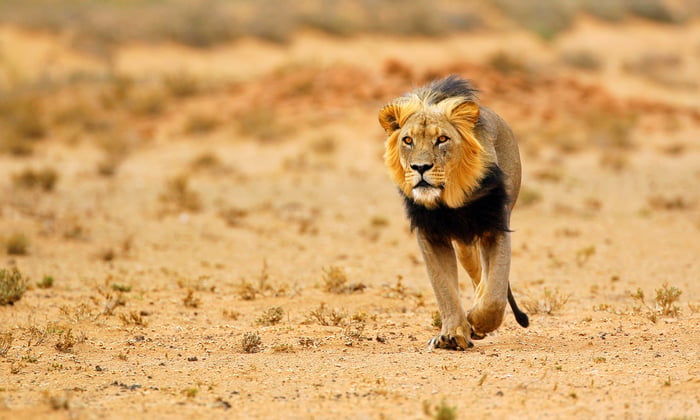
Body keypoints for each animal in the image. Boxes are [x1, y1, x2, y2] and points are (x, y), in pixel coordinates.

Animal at [378, 75, 529, 350]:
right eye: (408, 141)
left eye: (442, 139)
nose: (420, 167)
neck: (449, 200)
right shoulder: (431, 235)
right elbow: (444, 288)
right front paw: (453, 333)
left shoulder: (495, 227)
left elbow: (495, 295)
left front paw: (478, 321)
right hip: (464, 245)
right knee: (476, 272)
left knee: (486, 279)